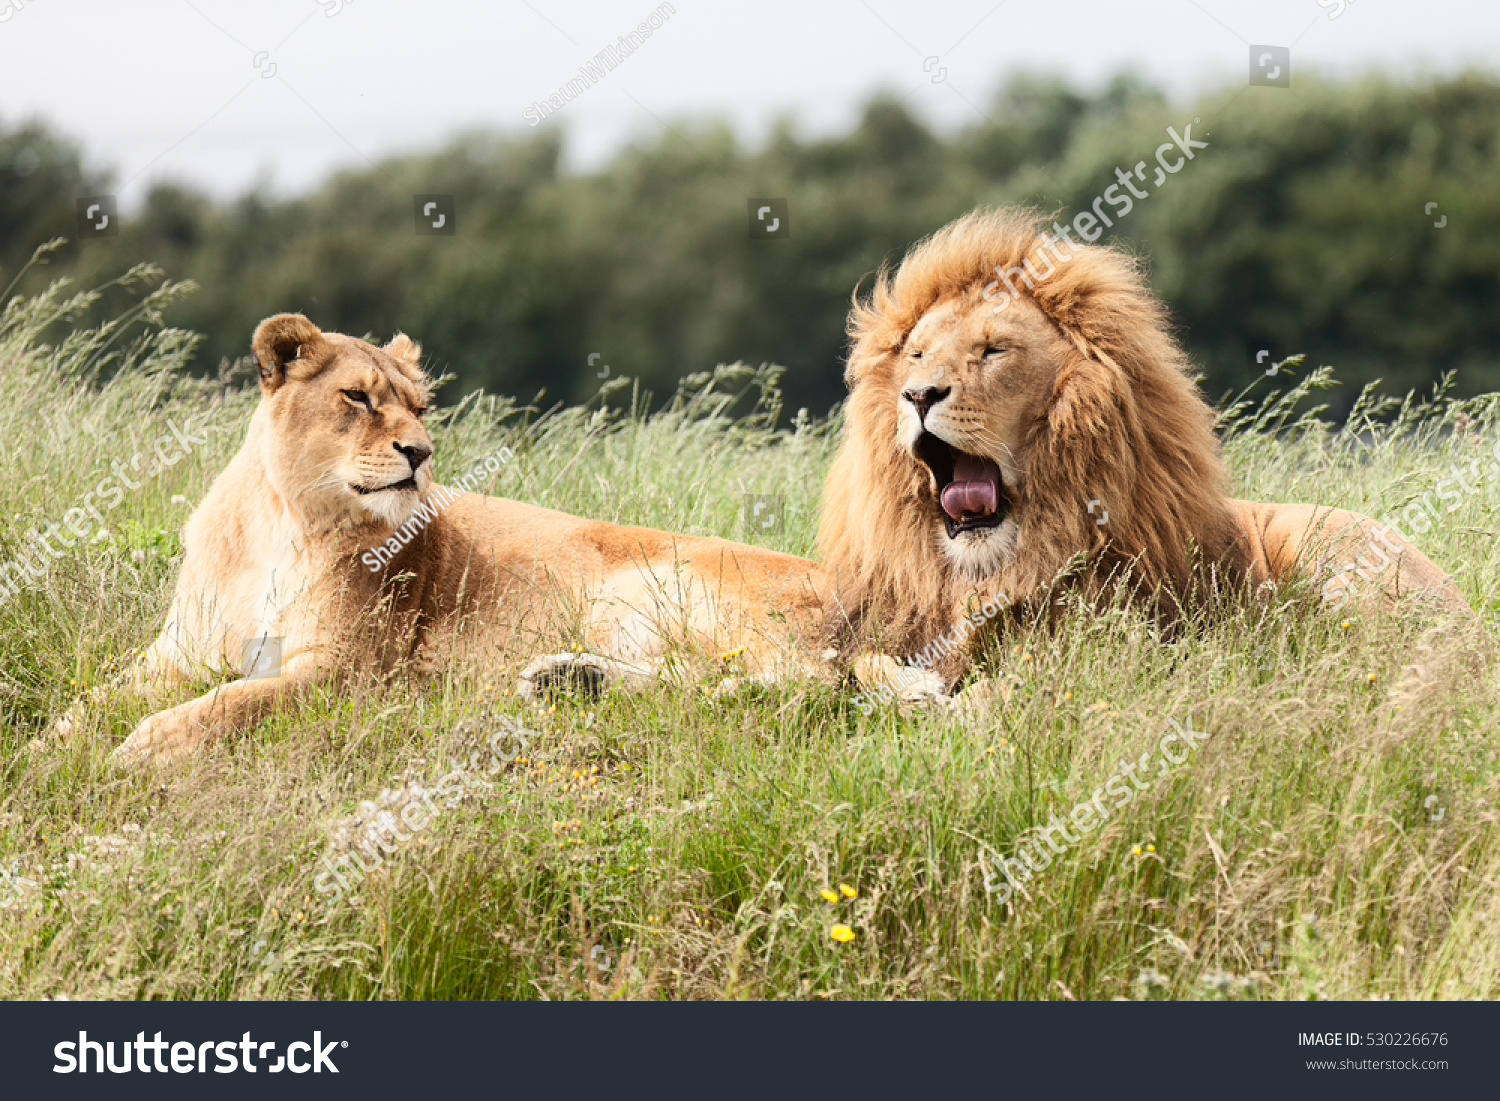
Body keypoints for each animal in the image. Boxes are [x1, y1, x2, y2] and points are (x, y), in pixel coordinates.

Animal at [64, 315, 828, 768]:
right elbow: (94, 699)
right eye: (358, 398)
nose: (421, 452)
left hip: (657, 579)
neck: (286, 521)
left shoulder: (349, 669)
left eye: (420, 407)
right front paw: (59, 744)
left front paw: (143, 745)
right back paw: (569, 682)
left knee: (791, 683)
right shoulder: (176, 652)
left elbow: (234, 702)